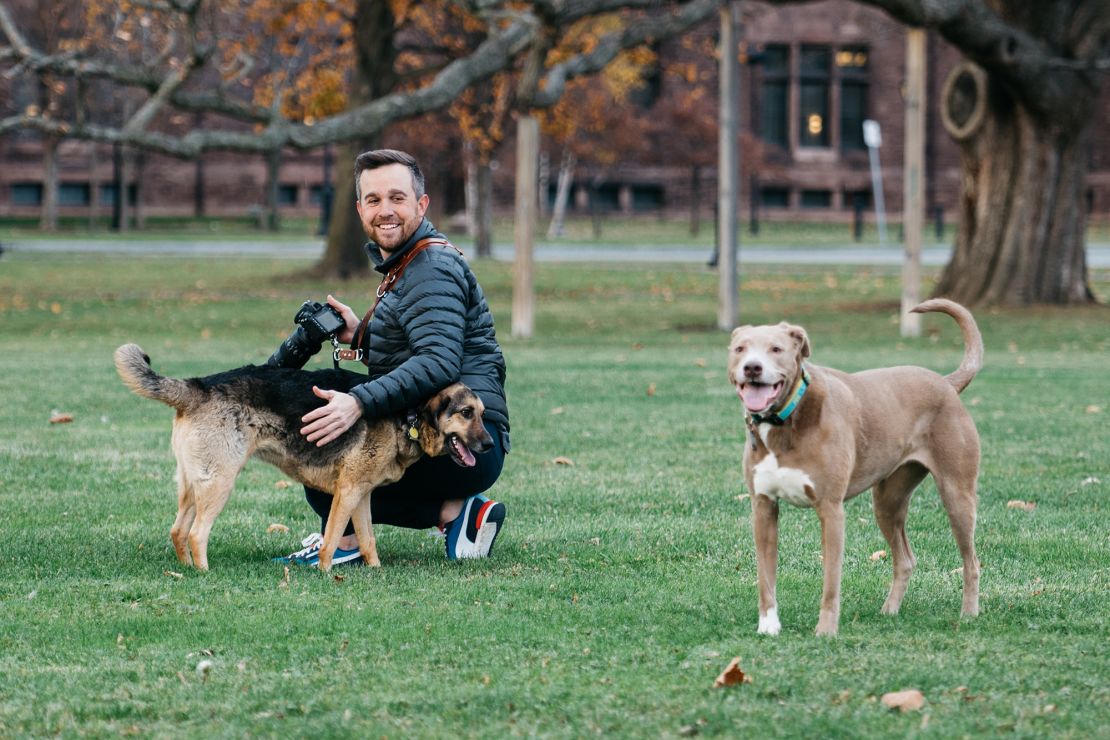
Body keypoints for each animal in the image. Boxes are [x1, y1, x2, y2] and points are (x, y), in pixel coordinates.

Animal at [114, 343, 492, 572]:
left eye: (483, 413)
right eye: (466, 413)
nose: (490, 445)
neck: (407, 412)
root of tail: (199, 386)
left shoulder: (361, 495)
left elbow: (368, 540)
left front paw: (376, 571)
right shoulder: (348, 493)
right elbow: (333, 540)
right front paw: (325, 575)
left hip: (194, 484)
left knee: (178, 531)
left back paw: (187, 570)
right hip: (219, 483)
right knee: (196, 534)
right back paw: (204, 573)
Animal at [728, 301, 981, 639]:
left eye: (776, 349)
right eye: (740, 349)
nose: (752, 367)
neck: (785, 420)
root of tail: (946, 383)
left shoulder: (831, 509)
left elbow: (831, 581)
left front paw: (825, 631)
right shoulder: (763, 507)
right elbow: (765, 577)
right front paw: (768, 626)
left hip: (957, 494)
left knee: (971, 561)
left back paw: (969, 614)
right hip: (887, 502)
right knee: (905, 559)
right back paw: (889, 611)